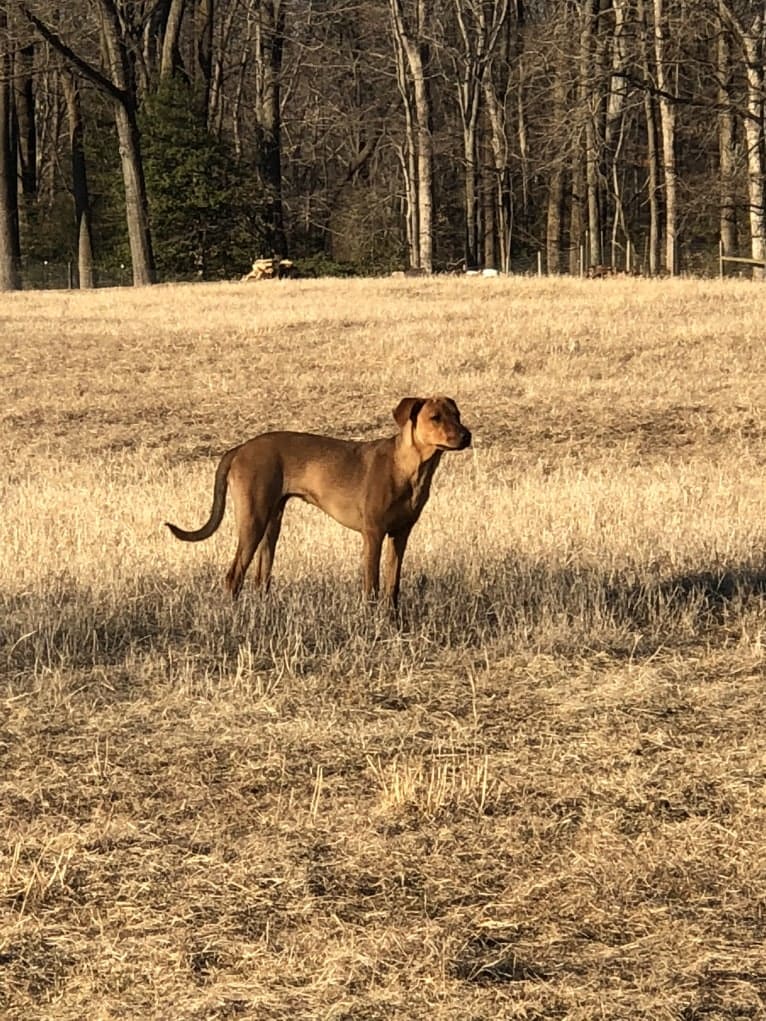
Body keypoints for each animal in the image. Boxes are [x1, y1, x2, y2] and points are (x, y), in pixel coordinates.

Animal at [165, 396, 471, 604]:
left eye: (457, 414)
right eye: (435, 417)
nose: (466, 435)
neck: (410, 468)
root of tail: (240, 448)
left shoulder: (401, 534)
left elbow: (392, 585)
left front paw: (393, 620)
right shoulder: (373, 533)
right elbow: (371, 585)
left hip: (271, 523)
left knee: (261, 577)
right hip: (253, 519)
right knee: (234, 576)